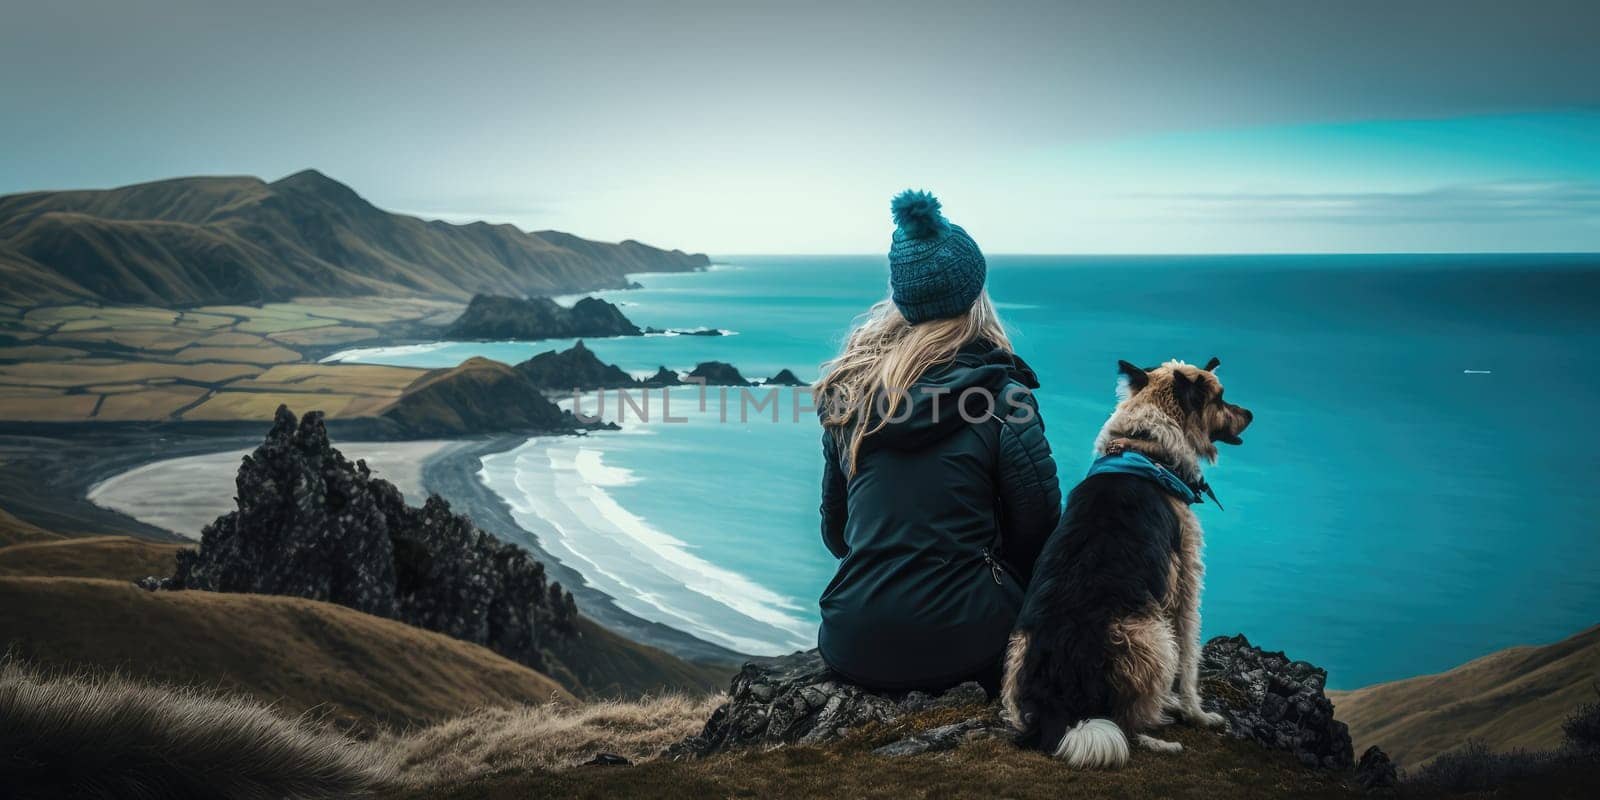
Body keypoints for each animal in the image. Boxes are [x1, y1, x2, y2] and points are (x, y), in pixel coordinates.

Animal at [998, 356, 1248, 768]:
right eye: (1220, 397)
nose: (1251, 414)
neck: (1146, 450)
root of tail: (1056, 708)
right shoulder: (1187, 583)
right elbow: (1190, 660)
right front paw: (1199, 715)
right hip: (1153, 639)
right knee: (1126, 723)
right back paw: (1158, 737)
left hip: (1016, 656)